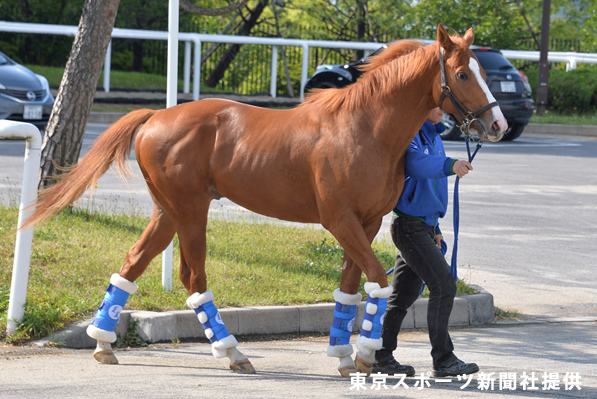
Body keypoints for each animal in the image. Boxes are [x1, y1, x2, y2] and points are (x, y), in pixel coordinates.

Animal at [25, 25, 506, 378]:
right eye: (463, 74)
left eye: (483, 72)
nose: (498, 125)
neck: (365, 128)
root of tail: (156, 116)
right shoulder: (339, 221)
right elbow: (375, 279)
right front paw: (366, 355)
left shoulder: (366, 222)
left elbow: (351, 286)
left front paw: (344, 356)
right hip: (190, 210)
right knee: (193, 278)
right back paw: (233, 353)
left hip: (167, 211)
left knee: (131, 264)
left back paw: (104, 343)